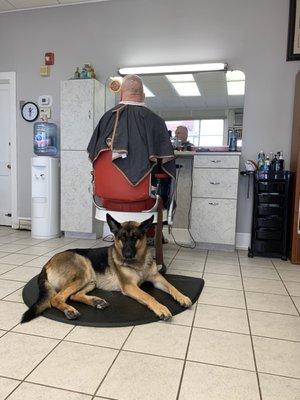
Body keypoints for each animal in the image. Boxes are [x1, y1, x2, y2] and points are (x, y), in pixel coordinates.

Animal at [22, 214, 192, 324]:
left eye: (135, 238)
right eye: (121, 238)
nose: (126, 255)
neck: (139, 262)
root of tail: (47, 263)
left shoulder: (157, 279)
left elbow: (172, 287)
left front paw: (182, 297)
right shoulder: (130, 286)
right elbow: (149, 297)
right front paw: (161, 308)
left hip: (90, 280)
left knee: (74, 295)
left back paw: (96, 301)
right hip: (83, 271)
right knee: (56, 298)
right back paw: (69, 310)